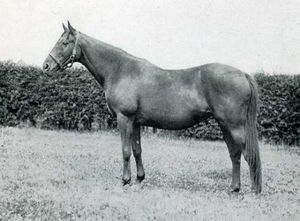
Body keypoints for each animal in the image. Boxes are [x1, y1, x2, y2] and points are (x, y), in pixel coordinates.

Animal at [43, 21, 262, 193]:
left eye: (64, 43)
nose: (46, 66)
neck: (120, 70)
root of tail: (242, 74)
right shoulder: (136, 122)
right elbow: (137, 150)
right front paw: (139, 179)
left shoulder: (124, 118)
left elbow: (125, 150)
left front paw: (125, 181)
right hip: (225, 125)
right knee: (234, 154)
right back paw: (234, 188)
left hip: (234, 126)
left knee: (246, 153)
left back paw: (252, 190)